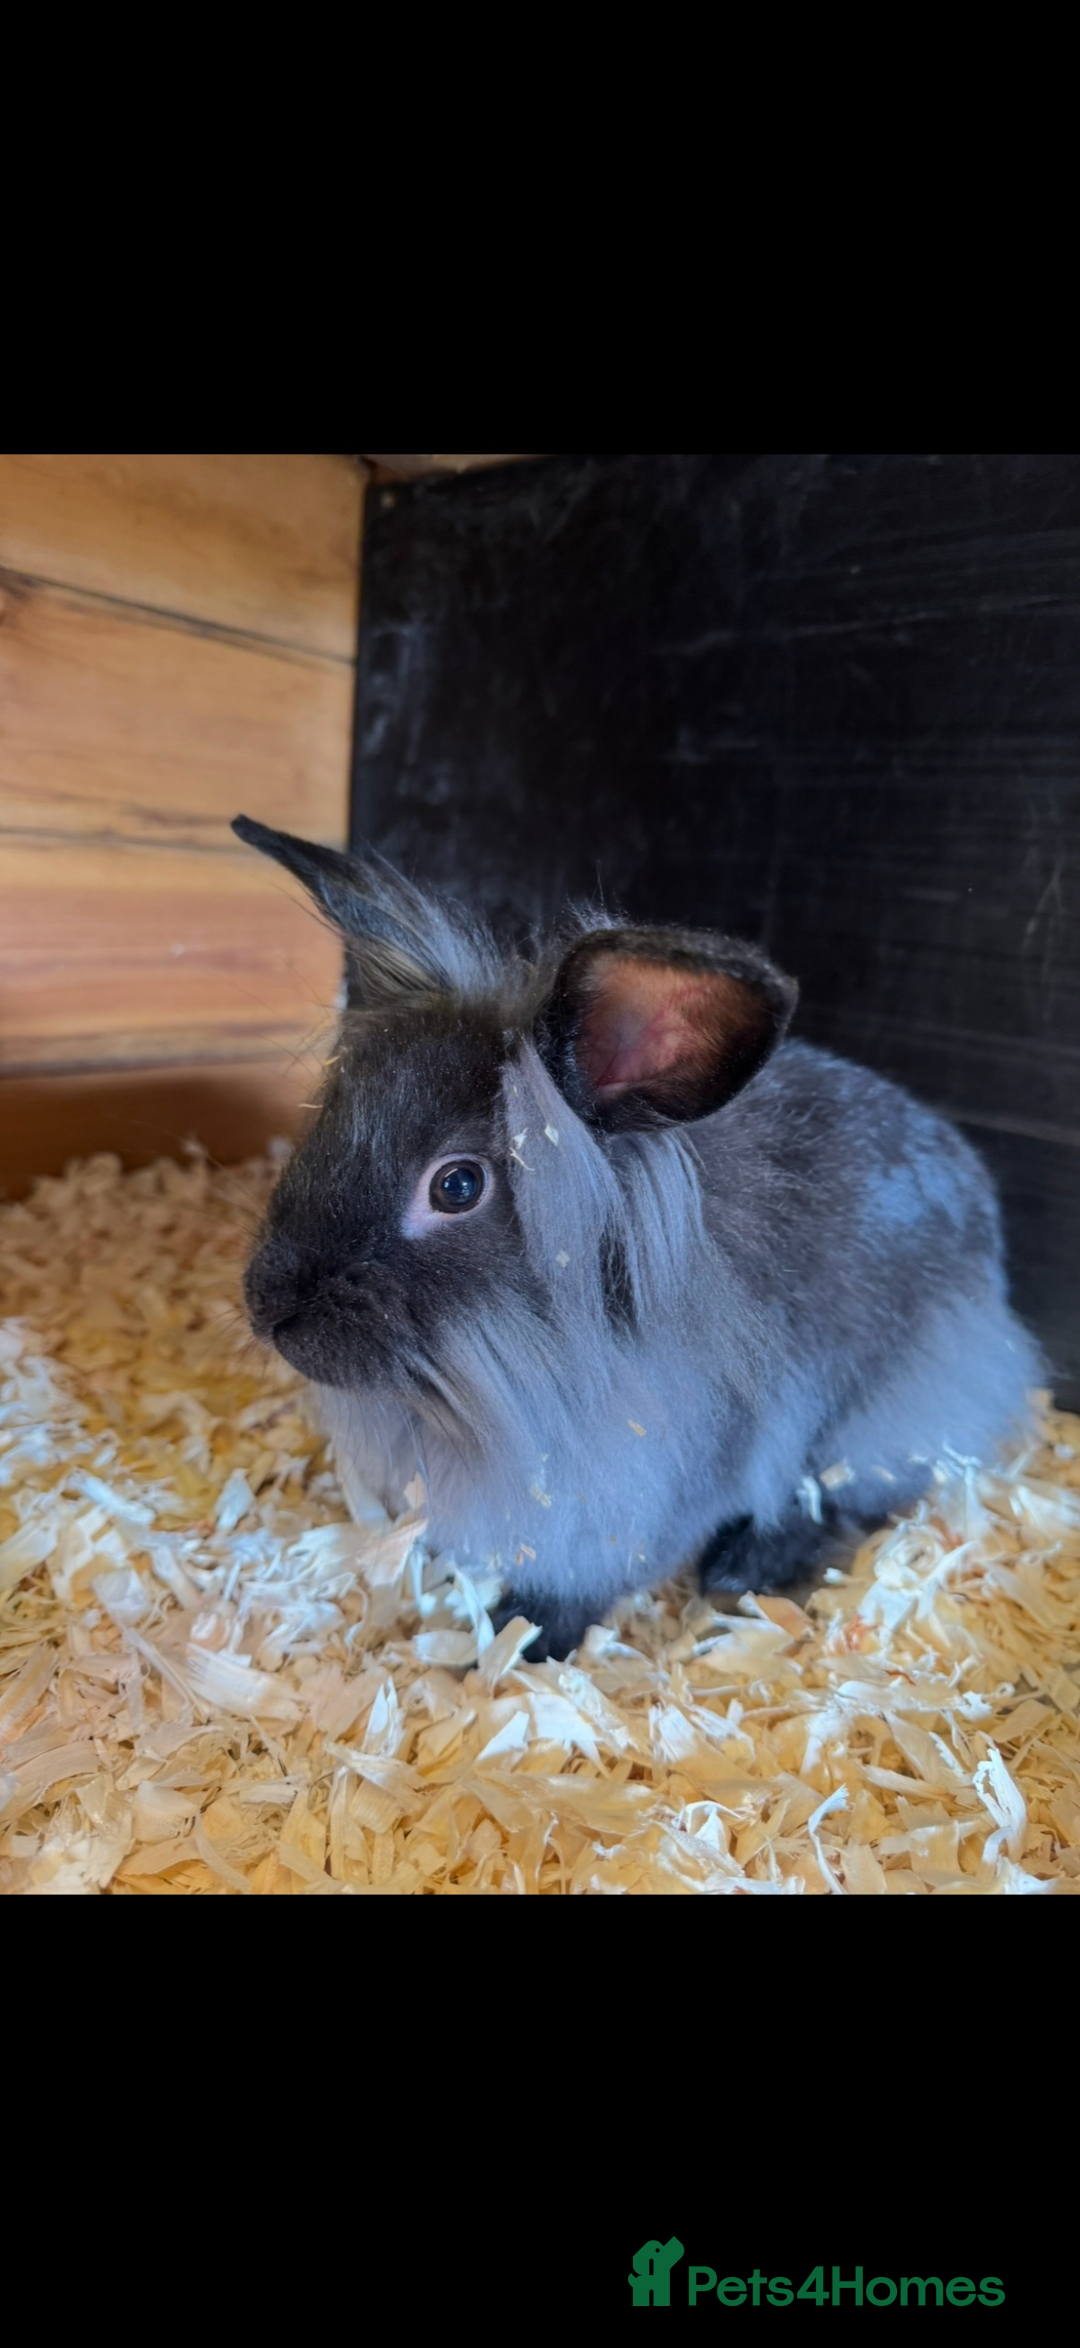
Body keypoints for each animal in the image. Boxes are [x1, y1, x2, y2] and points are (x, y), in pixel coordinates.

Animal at [234, 814, 1044, 1661]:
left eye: (456, 1187)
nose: (266, 1306)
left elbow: (585, 1581)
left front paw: (522, 1640)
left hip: (884, 1421)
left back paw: (746, 1569)